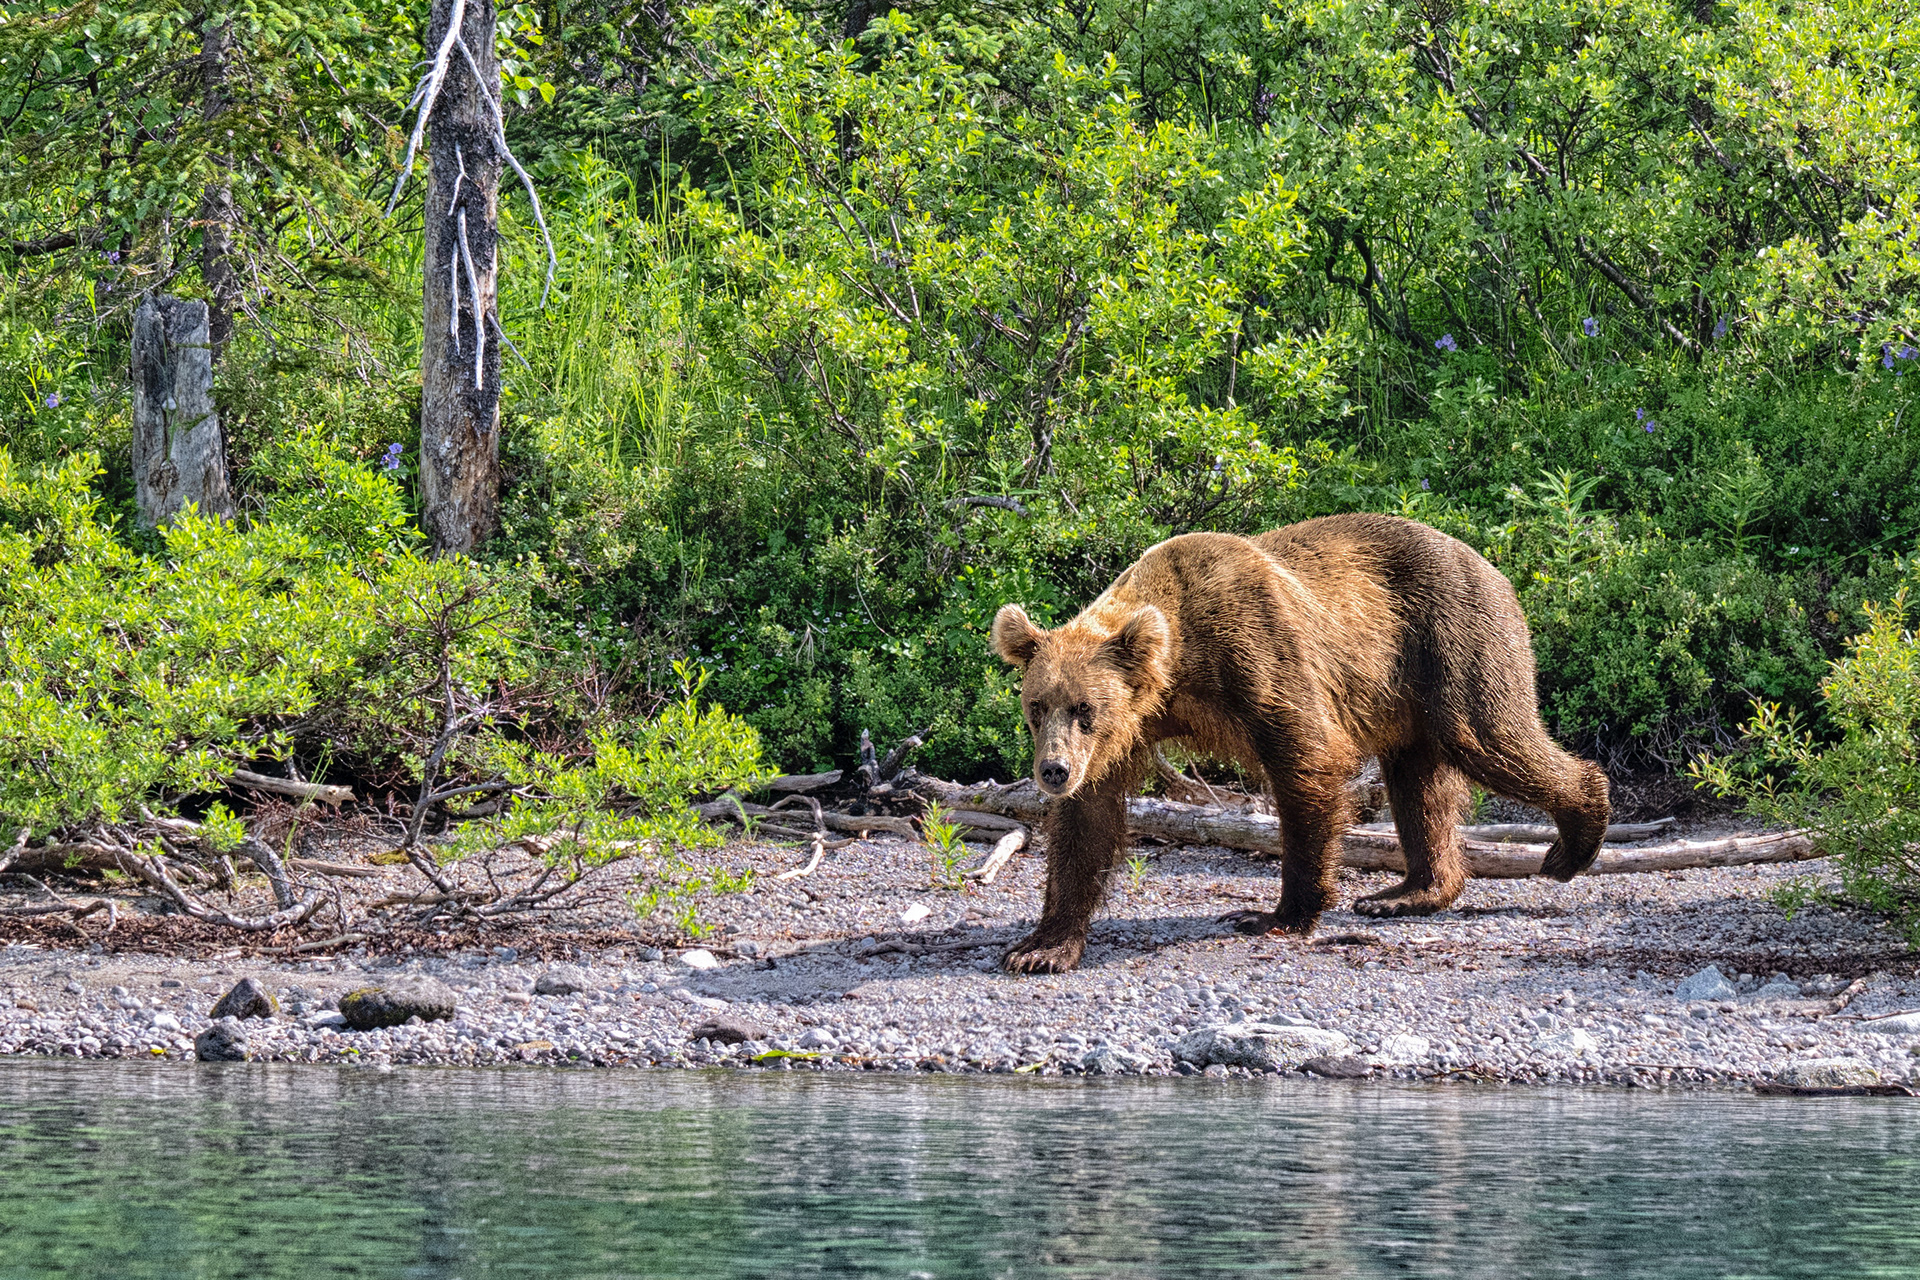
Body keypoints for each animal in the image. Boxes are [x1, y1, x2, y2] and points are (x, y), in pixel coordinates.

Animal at [989, 512, 1611, 974]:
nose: (1053, 771)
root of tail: (1494, 567)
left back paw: (1574, 838)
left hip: (1453, 639)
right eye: (1037, 707)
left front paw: (1278, 913)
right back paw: (1408, 891)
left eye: (1084, 709)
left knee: (1490, 738)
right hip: (1407, 691)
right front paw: (1041, 948)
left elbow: (1307, 763)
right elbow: (1088, 822)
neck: (1180, 664)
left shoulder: (1257, 655)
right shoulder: (1132, 732)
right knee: (1417, 784)